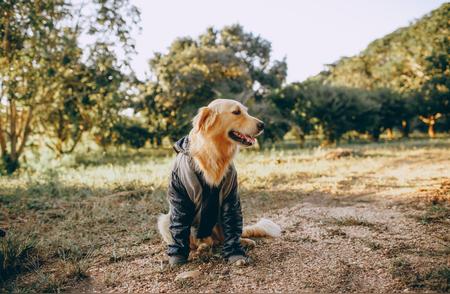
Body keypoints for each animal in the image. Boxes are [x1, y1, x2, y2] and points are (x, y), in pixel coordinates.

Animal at [158, 99, 282, 266]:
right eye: (236, 112)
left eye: (245, 111)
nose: (262, 125)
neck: (215, 152)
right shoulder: (180, 194)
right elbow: (180, 230)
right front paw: (178, 257)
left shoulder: (231, 195)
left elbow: (232, 228)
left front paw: (236, 254)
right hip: (165, 220)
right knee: (196, 243)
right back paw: (198, 250)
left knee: (224, 238)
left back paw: (242, 242)